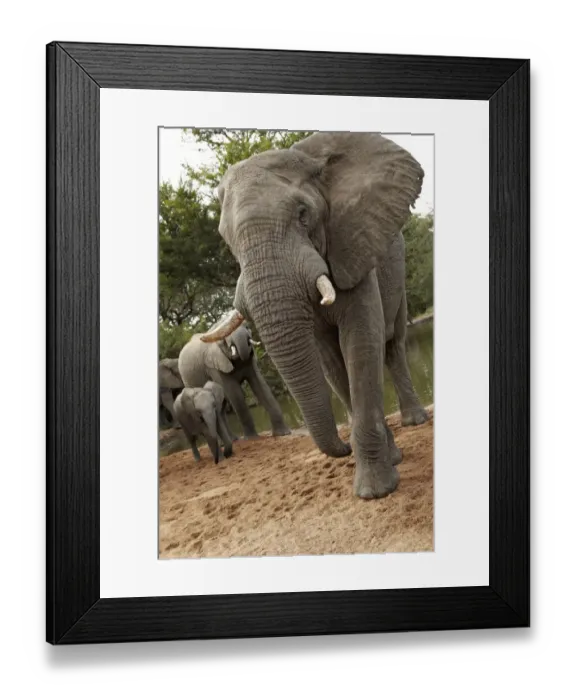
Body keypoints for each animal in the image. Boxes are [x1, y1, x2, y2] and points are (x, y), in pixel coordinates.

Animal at [200, 131, 430, 500]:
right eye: (225, 236)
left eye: (303, 214)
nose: (343, 448)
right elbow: (332, 360)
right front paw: (385, 464)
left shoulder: (352, 245)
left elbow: (360, 341)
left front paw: (375, 491)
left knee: (394, 343)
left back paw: (414, 420)